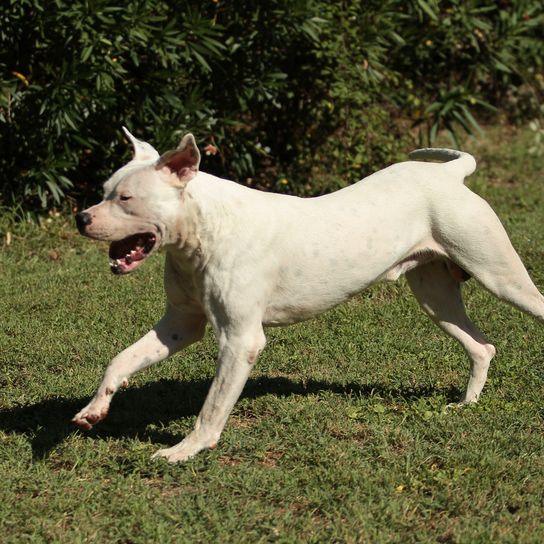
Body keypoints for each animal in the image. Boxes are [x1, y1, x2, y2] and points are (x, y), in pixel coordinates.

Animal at [73, 129, 544, 464]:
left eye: (127, 198)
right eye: (104, 189)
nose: (80, 218)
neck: (206, 228)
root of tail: (449, 175)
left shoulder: (240, 340)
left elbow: (212, 407)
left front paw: (185, 450)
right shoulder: (180, 324)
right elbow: (121, 359)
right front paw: (95, 409)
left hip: (500, 275)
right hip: (435, 295)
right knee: (482, 346)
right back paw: (467, 403)